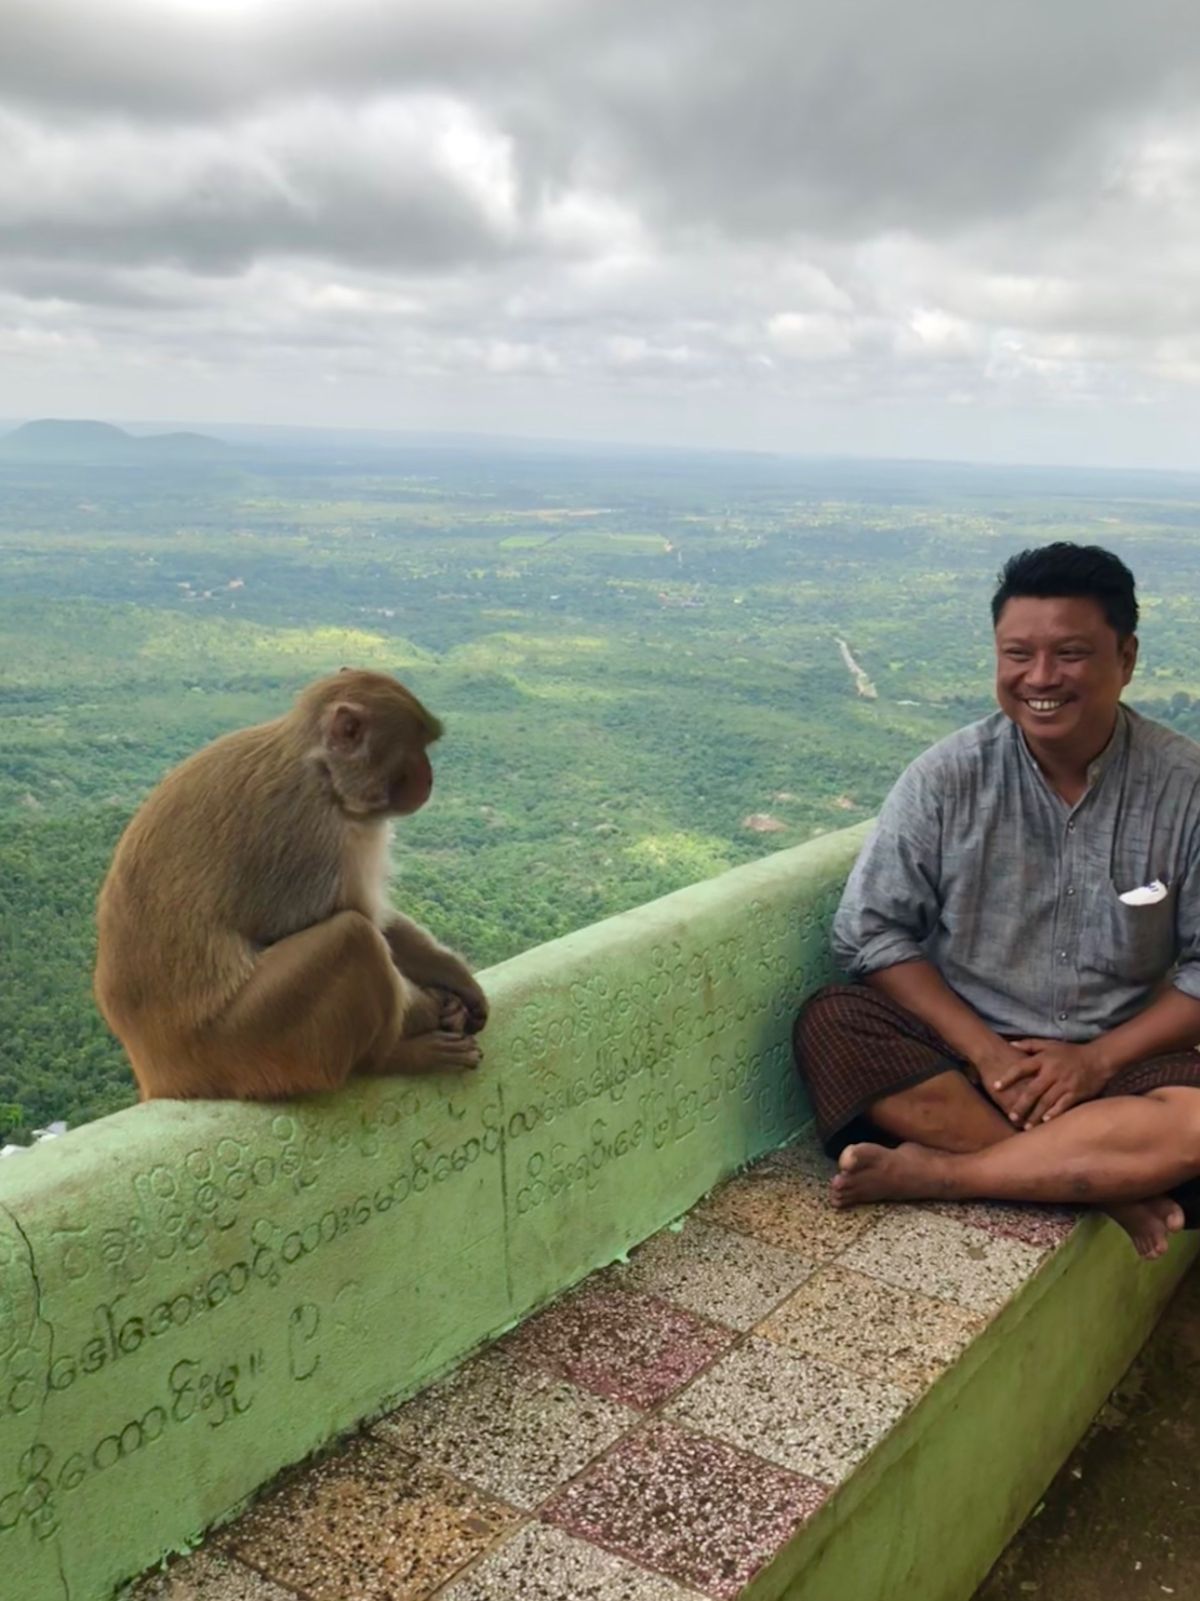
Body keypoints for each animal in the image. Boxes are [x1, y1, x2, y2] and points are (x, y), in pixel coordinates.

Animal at [94, 669, 488, 1102]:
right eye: (415, 747)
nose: (429, 777)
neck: (324, 775)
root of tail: (159, 1071)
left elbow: (382, 922)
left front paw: (457, 980)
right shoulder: (312, 838)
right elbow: (353, 921)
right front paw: (437, 1007)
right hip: (246, 1042)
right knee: (353, 938)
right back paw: (390, 1058)